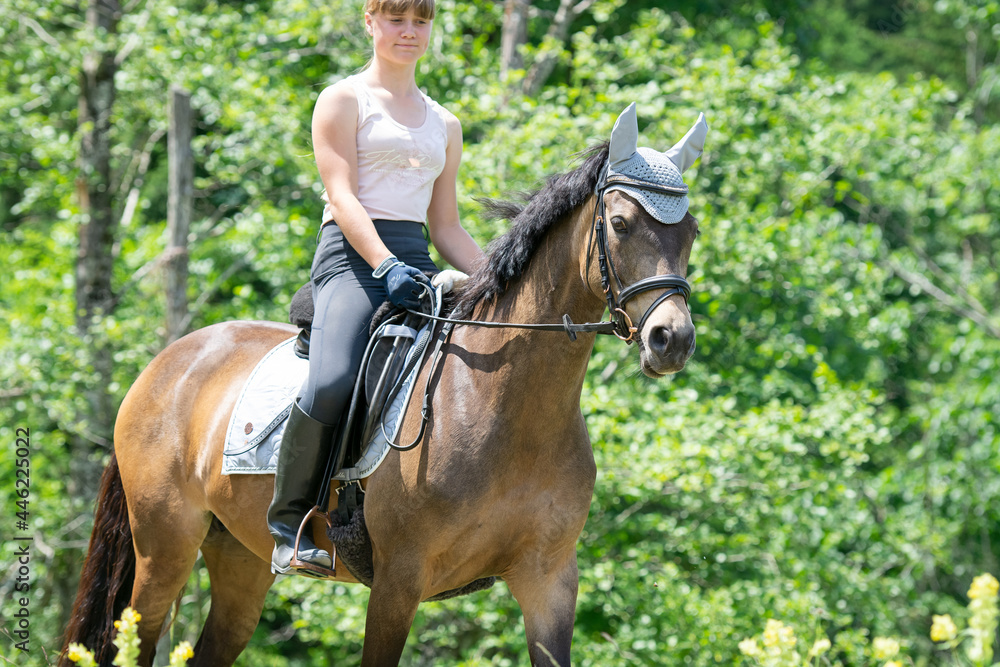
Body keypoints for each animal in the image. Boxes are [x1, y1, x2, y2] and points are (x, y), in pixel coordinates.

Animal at [58, 103, 708, 664]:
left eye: (692, 232)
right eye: (619, 223)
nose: (671, 340)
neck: (506, 406)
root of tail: (165, 363)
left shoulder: (548, 581)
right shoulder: (399, 581)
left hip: (238, 557)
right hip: (163, 550)